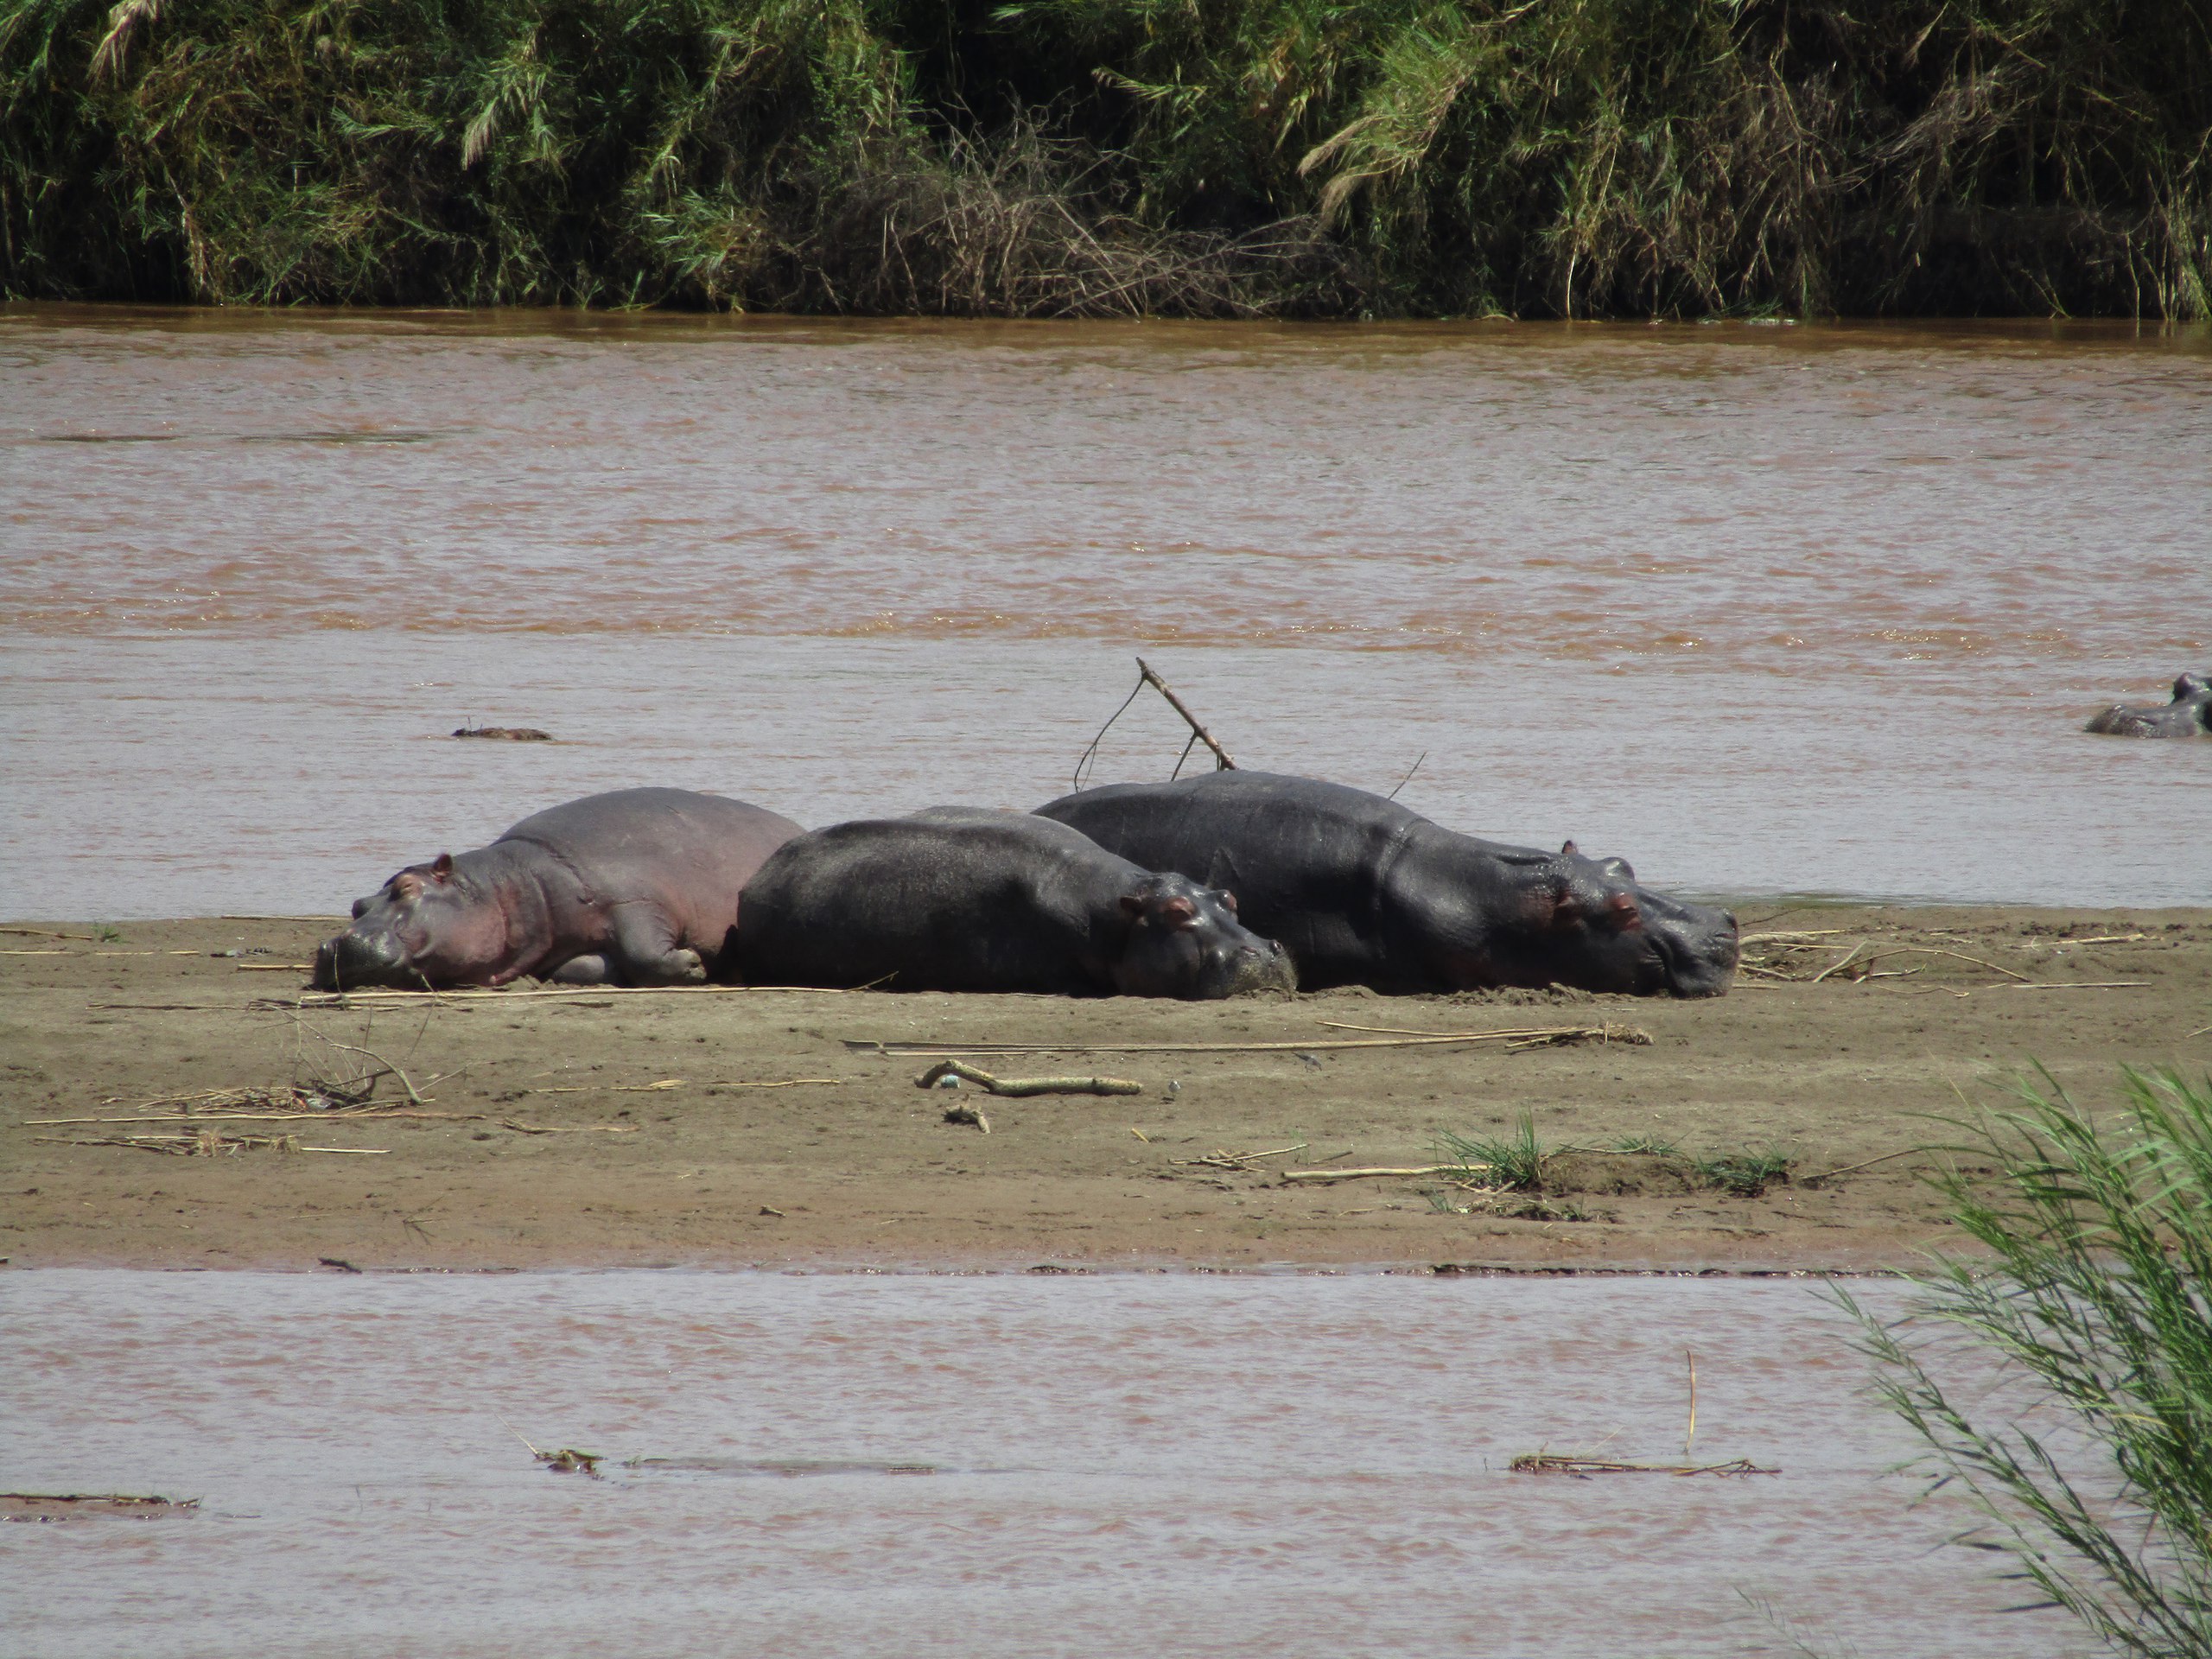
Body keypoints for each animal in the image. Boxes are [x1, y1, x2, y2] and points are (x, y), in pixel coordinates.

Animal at [307, 787, 800, 995]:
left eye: (408, 887)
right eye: (358, 905)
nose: (336, 944)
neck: (509, 884)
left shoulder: (635, 900)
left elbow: (643, 950)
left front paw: (693, 964)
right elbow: (575, 969)